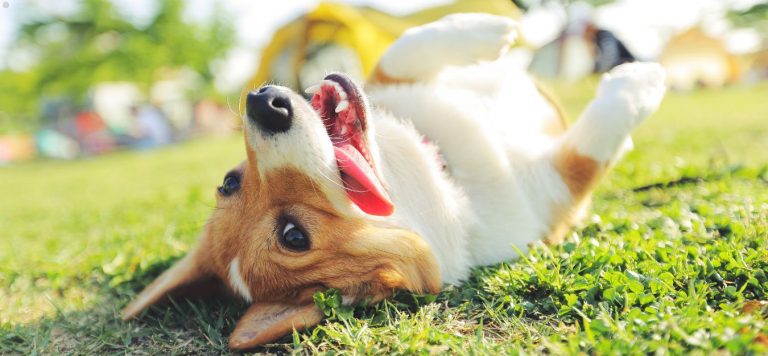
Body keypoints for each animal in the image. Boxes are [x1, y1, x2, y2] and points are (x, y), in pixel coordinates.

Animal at [120, 12, 664, 350]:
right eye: (293, 236)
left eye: (228, 181)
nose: (262, 103)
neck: (443, 167)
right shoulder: (553, 190)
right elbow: (591, 147)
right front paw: (638, 82)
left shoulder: (388, 82)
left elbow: (402, 51)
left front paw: (487, 30)